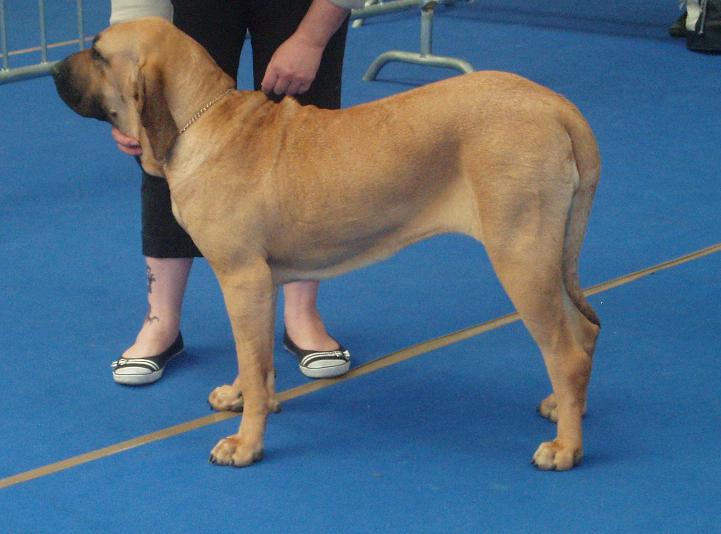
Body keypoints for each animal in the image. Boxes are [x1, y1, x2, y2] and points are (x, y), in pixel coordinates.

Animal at [52, 18, 600, 470]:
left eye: (98, 53)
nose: (54, 68)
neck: (202, 122)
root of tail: (555, 106)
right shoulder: (255, 285)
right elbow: (253, 359)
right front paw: (241, 396)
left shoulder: (243, 278)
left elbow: (253, 362)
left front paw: (246, 443)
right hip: (547, 256)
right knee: (583, 333)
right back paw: (564, 406)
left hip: (520, 254)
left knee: (565, 351)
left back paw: (566, 447)